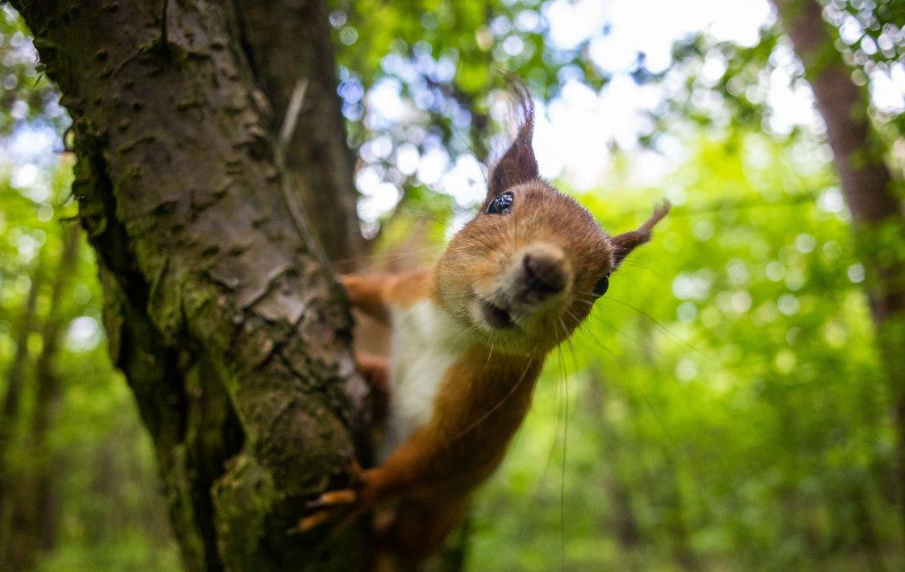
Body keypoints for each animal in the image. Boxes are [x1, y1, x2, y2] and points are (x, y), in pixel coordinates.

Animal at [300, 82, 668, 568]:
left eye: (603, 285)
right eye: (500, 203)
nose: (545, 272)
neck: (452, 333)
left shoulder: (483, 411)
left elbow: (430, 462)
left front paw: (359, 494)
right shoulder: (408, 294)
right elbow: (370, 291)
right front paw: (330, 278)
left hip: (434, 517)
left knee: (405, 542)